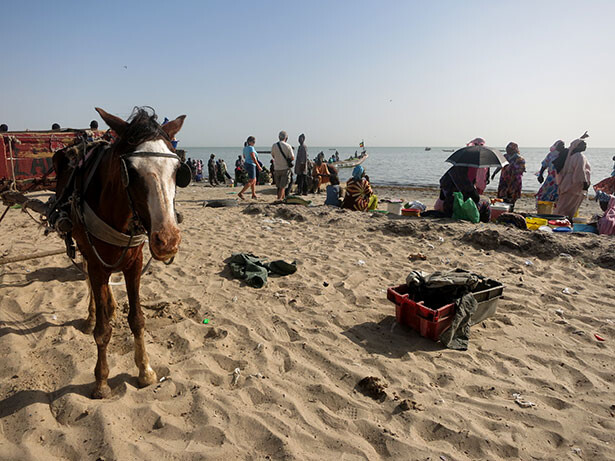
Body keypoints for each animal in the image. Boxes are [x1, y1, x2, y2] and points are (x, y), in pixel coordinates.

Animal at [55, 106, 190, 398]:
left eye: (177, 169)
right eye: (131, 171)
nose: (168, 240)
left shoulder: (134, 263)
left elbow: (137, 319)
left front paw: (145, 370)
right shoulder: (96, 262)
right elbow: (102, 329)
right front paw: (101, 380)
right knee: (89, 279)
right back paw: (95, 312)